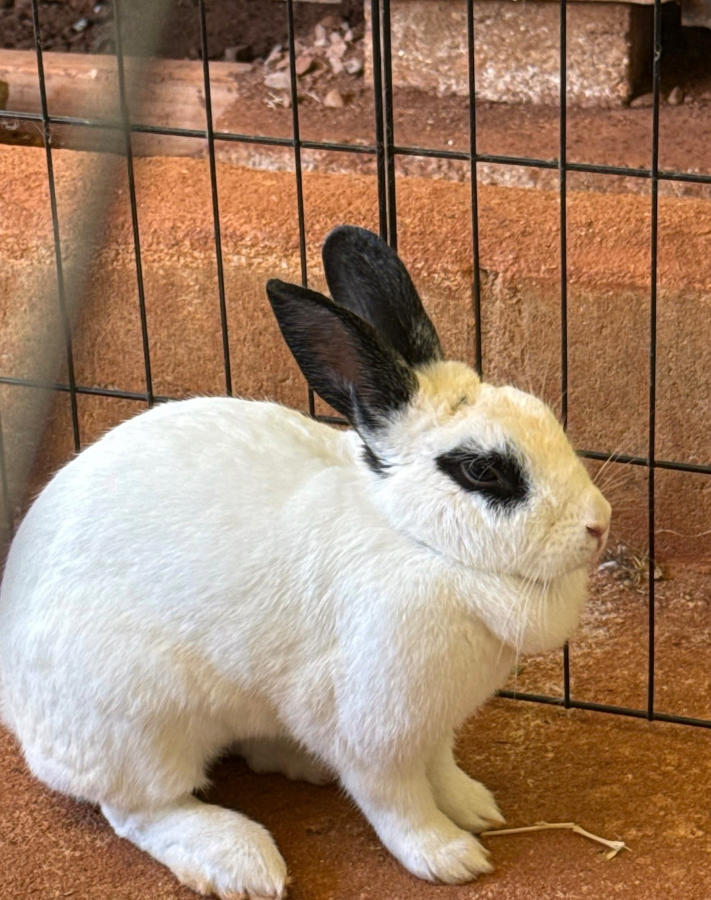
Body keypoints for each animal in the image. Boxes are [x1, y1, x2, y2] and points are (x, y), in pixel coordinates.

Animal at [0, 225, 611, 899]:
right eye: (483, 470)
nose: (599, 524)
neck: (418, 543)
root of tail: (17, 713)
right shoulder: (376, 733)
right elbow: (398, 803)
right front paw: (451, 856)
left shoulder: (434, 727)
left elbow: (443, 771)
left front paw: (477, 807)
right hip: (138, 728)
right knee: (140, 809)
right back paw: (243, 862)